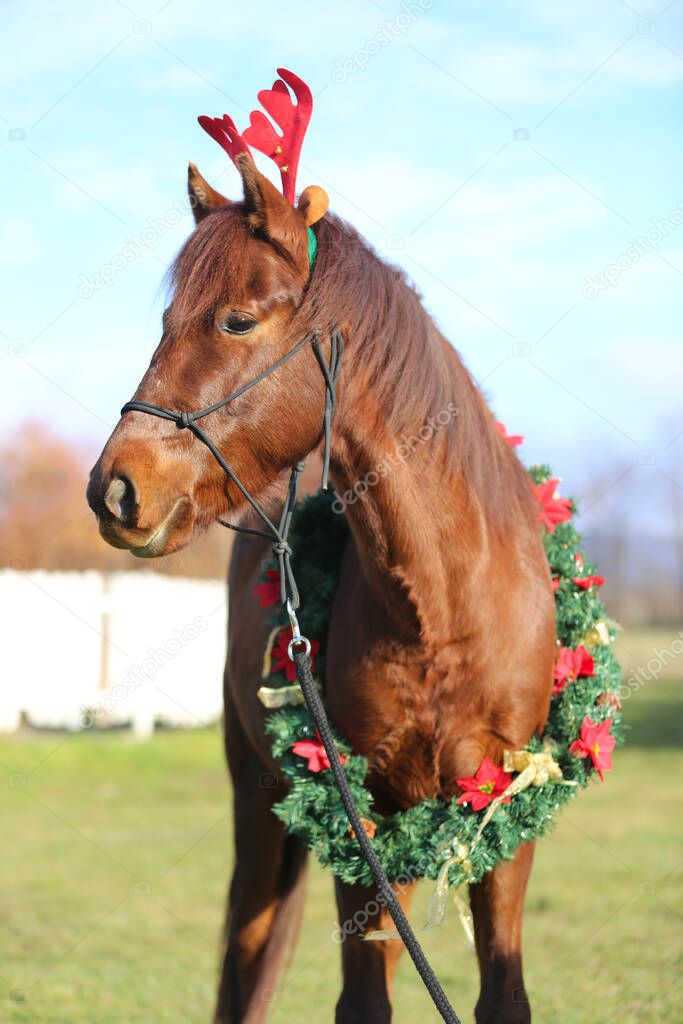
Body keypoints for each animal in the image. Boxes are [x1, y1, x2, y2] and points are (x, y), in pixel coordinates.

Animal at [87, 153, 557, 1024]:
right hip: (259, 809)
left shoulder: (505, 807)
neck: (443, 613)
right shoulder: (358, 812)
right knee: (245, 965)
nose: (115, 489)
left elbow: (501, 996)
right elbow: (361, 999)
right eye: (167, 319)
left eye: (236, 321)